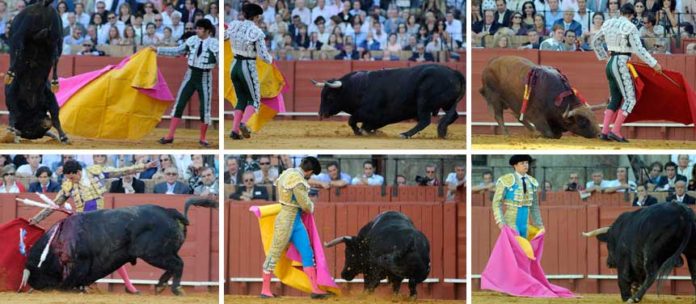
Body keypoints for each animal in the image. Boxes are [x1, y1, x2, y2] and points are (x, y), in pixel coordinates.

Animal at [4, 0, 67, 142]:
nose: (45, 123)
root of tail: (43, 4)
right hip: (57, 35)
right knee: (55, 55)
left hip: (22, 32)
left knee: (19, 48)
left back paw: (10, 74)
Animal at [21, 197, 216, 294]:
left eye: (35, 271)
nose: (32, 285)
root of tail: (169, 212)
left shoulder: (78, 264)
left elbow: (69, 281)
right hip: (164, 252)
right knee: (175, 264)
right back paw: (160, 286)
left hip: (154, 254)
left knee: (178, 264)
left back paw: (175, 289)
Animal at [314, 65, 464, 140]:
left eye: (329, 97)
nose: (321, 113)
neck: (358, 87)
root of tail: (453, 72)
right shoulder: (378, 118)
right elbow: (362, 124)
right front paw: (370, 132)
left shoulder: (372, 114)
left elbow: (352, 120)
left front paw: (361, 132)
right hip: (447, 104)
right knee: (453, 115)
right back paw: (442, 132)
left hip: (424, 102)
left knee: (424, 120)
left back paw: (405, 134)